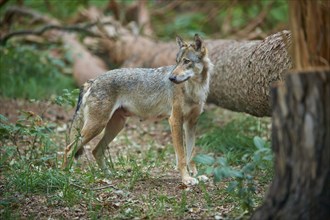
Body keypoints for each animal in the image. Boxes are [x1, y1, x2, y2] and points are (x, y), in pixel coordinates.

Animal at [63, 34, 214, 186]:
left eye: (186, 61)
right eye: (176, 62)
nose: (171, 78)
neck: (194, 89)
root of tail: (93, 80)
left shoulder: (191, 124)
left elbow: (191, 154)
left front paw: (196, 175)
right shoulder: (175, 121)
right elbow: (182, 157)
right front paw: (187, 179)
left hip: (115, 126)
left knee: (95, 150)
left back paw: (109, 175)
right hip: (96, 127)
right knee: (68, 149)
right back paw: (65, 176)